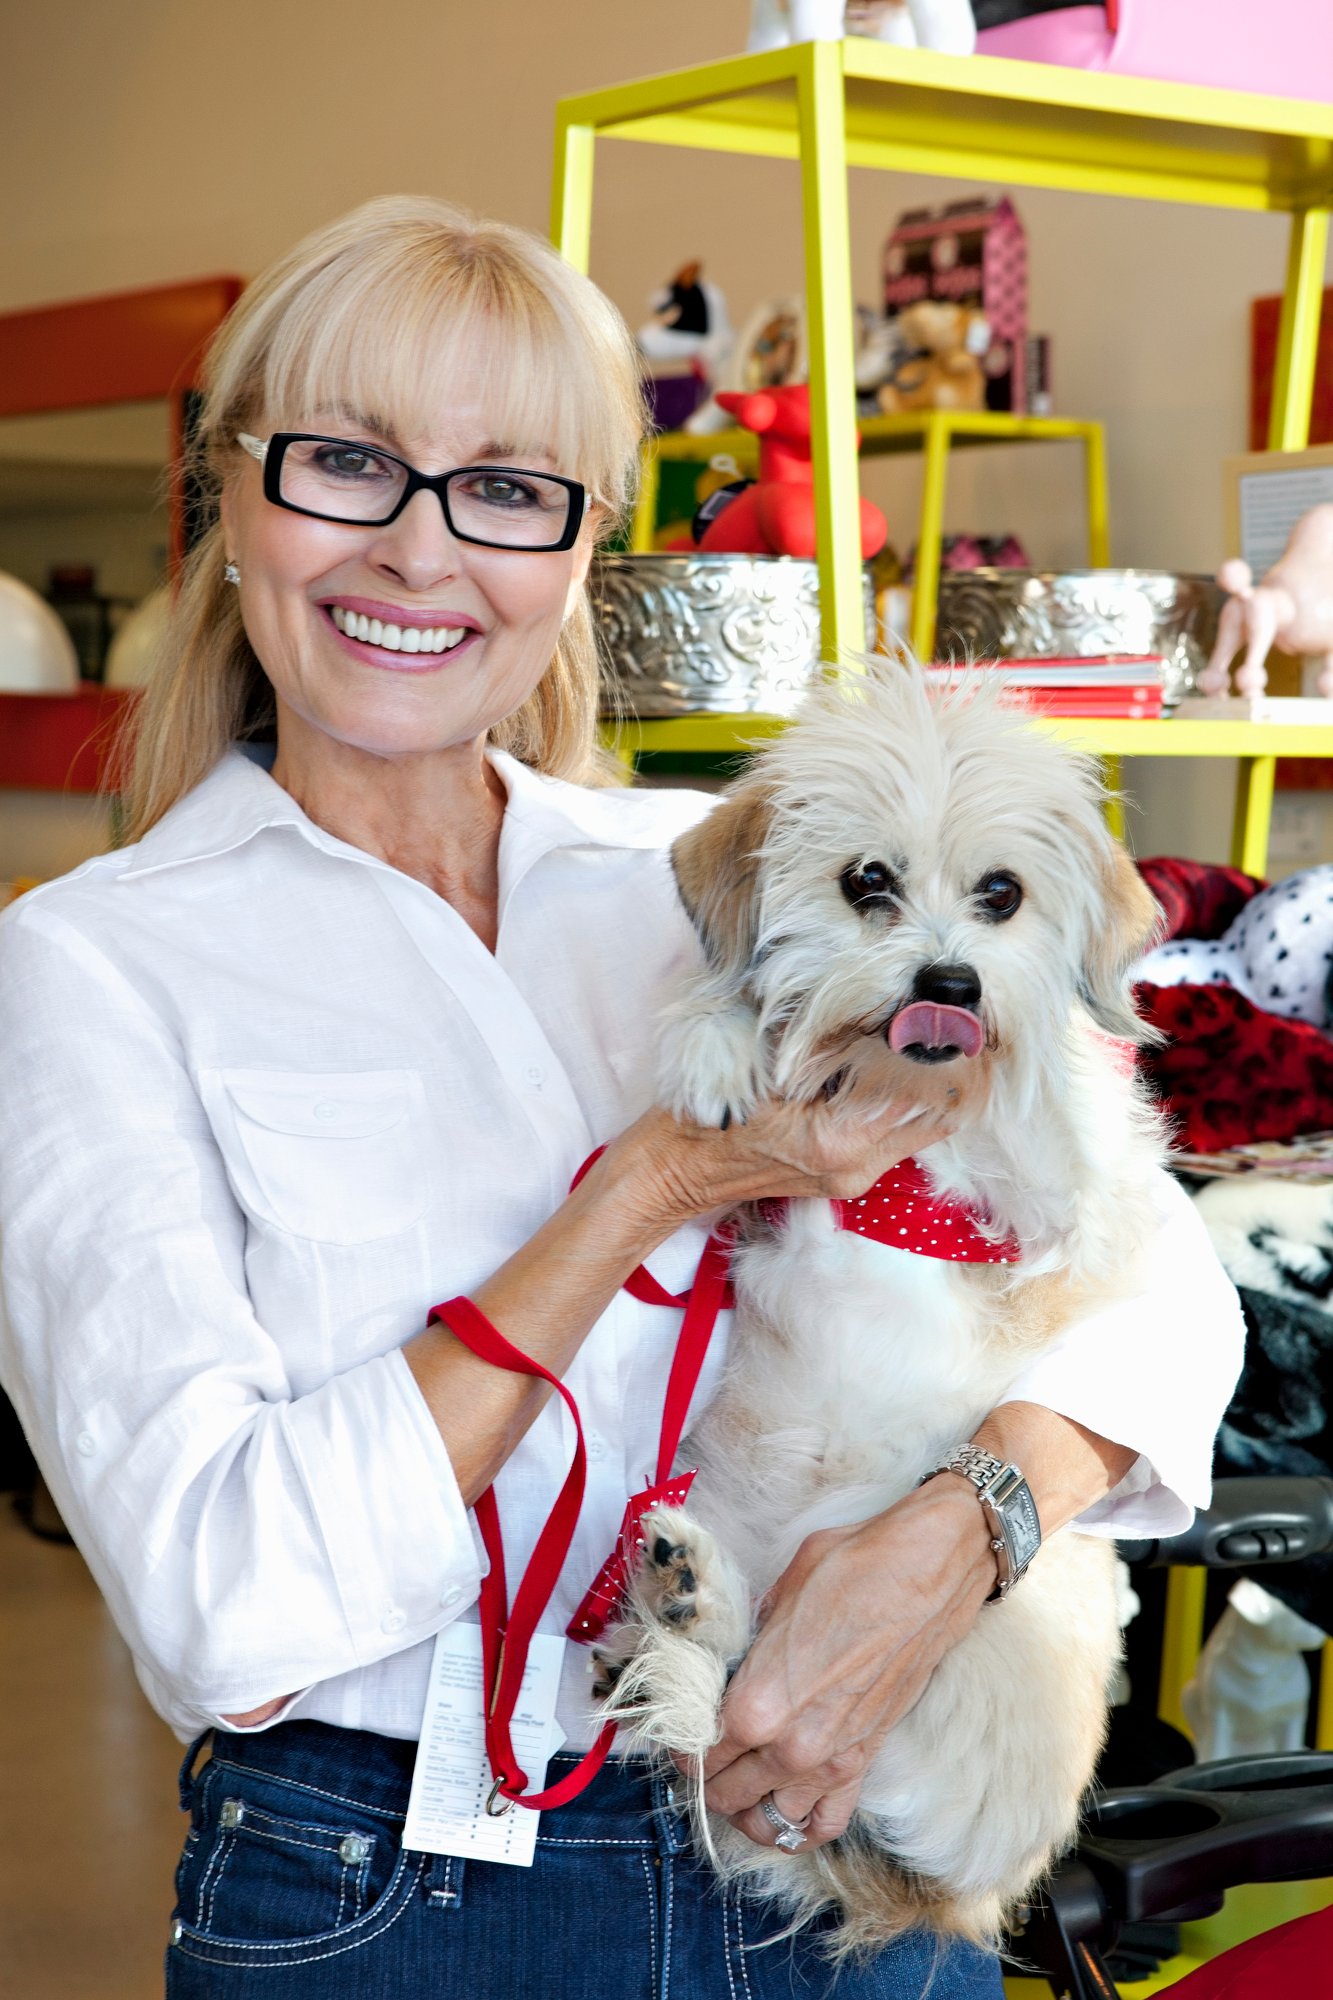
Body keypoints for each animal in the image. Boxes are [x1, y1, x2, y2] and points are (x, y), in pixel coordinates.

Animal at [592, 668, 1160, 1952]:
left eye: (1001, 894)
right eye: (866, 882)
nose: (949, 986)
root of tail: (950, 1894)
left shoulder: (1066, 1193)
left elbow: (1049, 1113)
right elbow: (733, 1011)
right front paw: (722, 1045)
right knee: (726, 1671)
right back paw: (684, 1588)